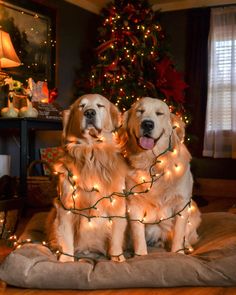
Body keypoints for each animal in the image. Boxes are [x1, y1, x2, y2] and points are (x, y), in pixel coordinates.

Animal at [47, 94, 128, 264]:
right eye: (81, 106)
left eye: (100, 105)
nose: (90, 113)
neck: (91, 151)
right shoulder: (65, 206)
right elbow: (66, 237)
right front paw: (66, 259)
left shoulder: (117, 205)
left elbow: (116, 237)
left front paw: (118, 258)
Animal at [118, 97, 201, 256]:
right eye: (140, 111)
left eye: (160, 113)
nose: (147, 124)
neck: (153, 164)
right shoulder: (134, 204)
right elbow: (138, 235)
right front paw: (140, 255)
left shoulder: (182, 203)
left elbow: (179, 234)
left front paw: (178, 253)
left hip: (193, 210)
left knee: (188, 235)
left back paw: (187, 246)